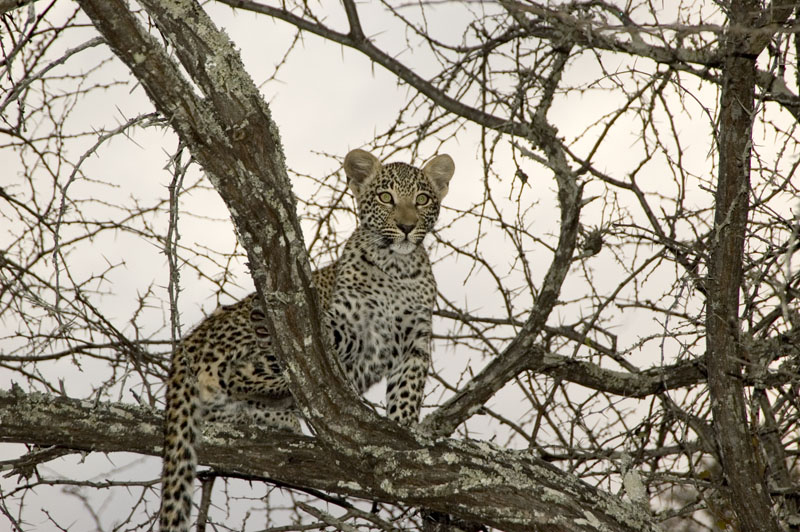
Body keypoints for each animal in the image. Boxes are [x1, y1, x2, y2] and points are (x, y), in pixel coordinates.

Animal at [159, 149, 454, 532]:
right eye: (386, 197)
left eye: (422, 200)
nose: (406, 226)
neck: (397, 268)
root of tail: (187, 345)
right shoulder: (343, 324)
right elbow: (339, 337)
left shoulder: (415, 343)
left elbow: (406, 394)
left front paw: (404, 432)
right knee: (234, 377)